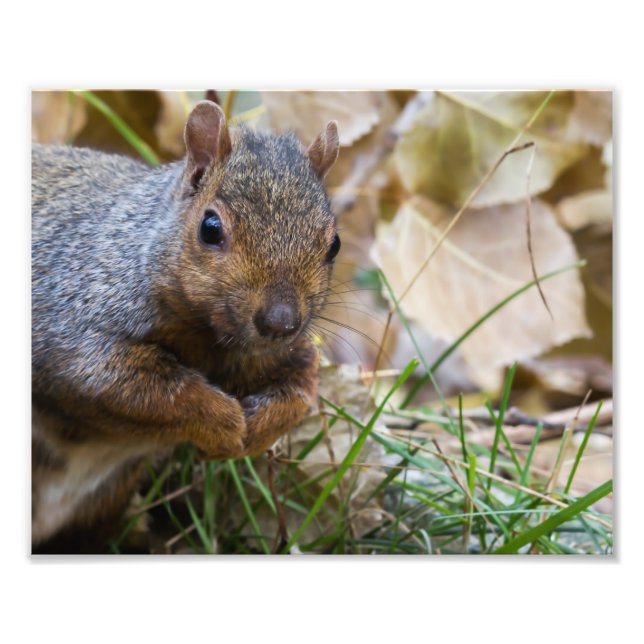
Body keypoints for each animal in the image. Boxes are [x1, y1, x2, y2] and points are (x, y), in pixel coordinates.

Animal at [31, 100, 340, 553]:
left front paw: (258, 431)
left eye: (333, 244)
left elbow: (300, 390)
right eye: (209, 228)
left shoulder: (285, 354)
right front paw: (224, 423)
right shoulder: (76, 313)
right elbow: (128, 385)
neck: (213, 342)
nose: (280, 322)